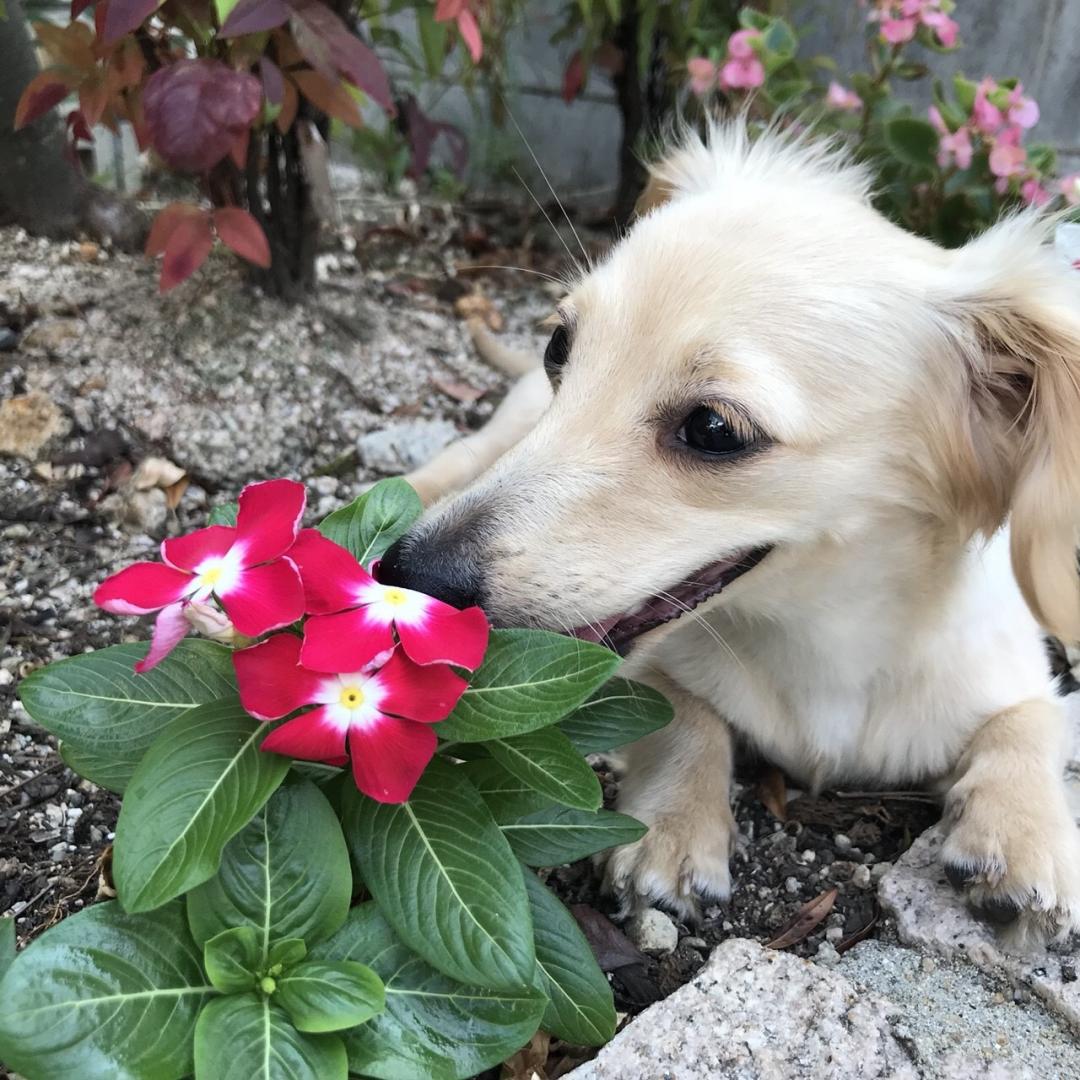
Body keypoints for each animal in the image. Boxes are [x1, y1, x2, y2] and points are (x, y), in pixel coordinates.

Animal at [378, 120, 1080, 946]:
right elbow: (683, 714)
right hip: (506, 423)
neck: (823, 645)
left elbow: (1029, 726)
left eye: (714, 428)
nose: (407, 576)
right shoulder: (636, 672)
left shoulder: (1019, 677)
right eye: (561, 346)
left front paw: (1027, 836)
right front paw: (675, 828)